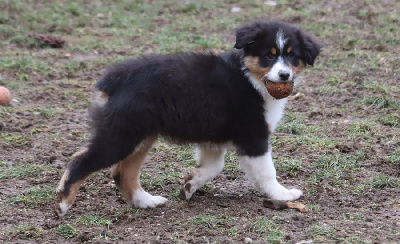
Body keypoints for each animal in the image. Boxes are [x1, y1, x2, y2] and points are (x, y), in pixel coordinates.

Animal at [55, 20, 322, 215]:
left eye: (292, 56)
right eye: (269, 55)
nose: (285, 75)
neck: (252, 79)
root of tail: (117, 78)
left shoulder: (213, 137)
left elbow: (213, 166)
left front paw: (189, 185)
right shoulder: (253, 135)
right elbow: (267, 171)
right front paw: (282, 195)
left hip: (141, 135)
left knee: (123, 172)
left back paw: (146, 201)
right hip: (122, 134)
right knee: (81, 160)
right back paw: (64, 202)